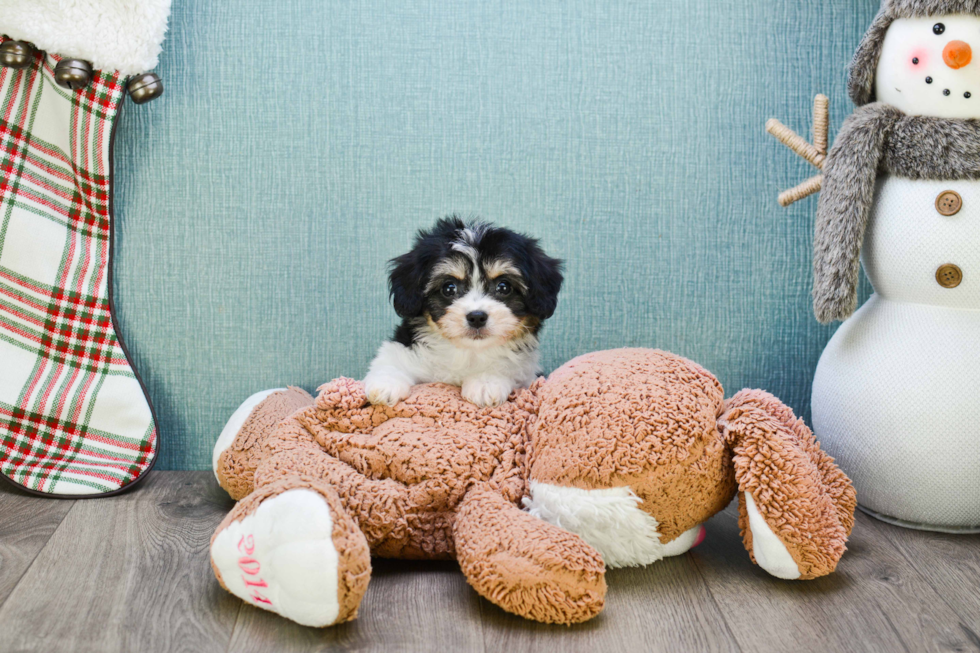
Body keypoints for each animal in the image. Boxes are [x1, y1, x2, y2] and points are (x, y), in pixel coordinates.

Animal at [364, 216, 564, 404]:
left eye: (504, 287)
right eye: (449, 288)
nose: (477, 317)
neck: (467, 352)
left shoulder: (526, 370)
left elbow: (504, 365)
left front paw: (485, 384)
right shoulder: (405, 349)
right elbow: (391, 361)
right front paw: (385, 386)